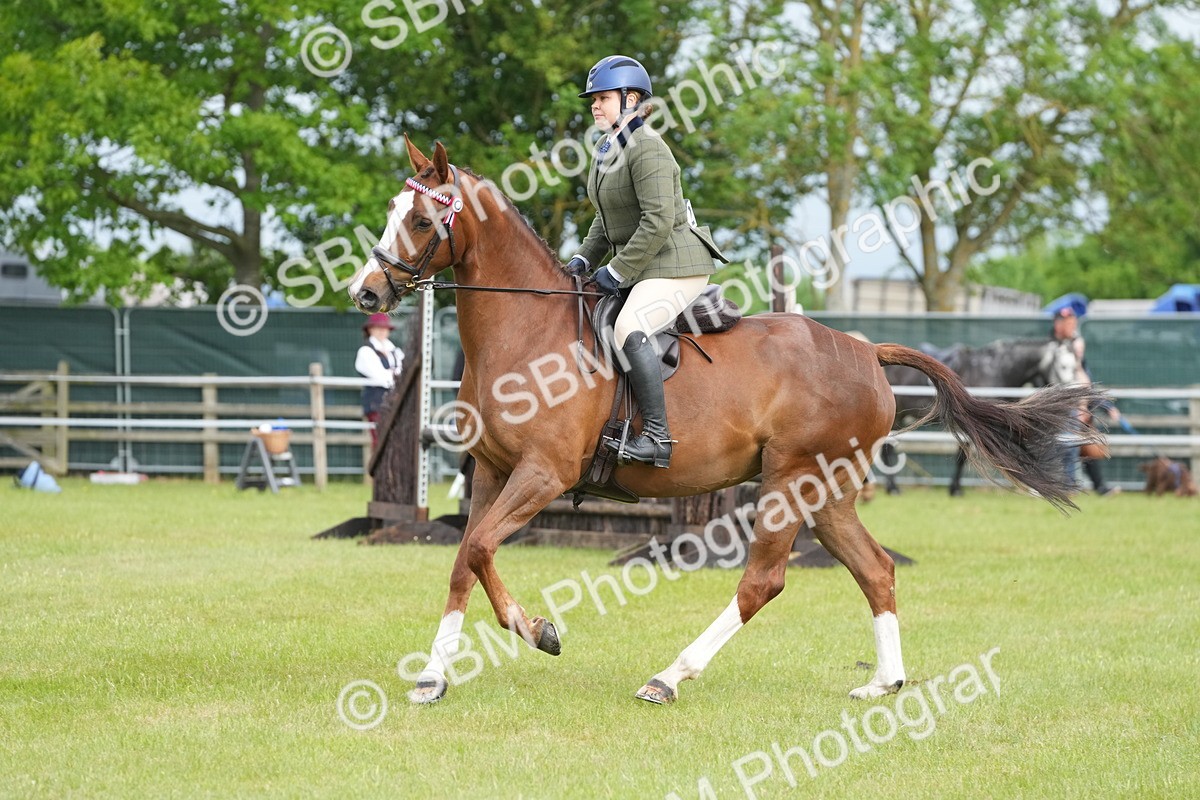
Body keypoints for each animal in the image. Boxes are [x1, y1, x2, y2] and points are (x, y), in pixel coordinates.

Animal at [881, 338, 1079, 495]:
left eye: (1075, 364)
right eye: (1063, 366)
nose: (1073, 389)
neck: (994, 371)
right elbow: (962, 457)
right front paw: (956, 489)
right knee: (886, 450)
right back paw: (893, 488)